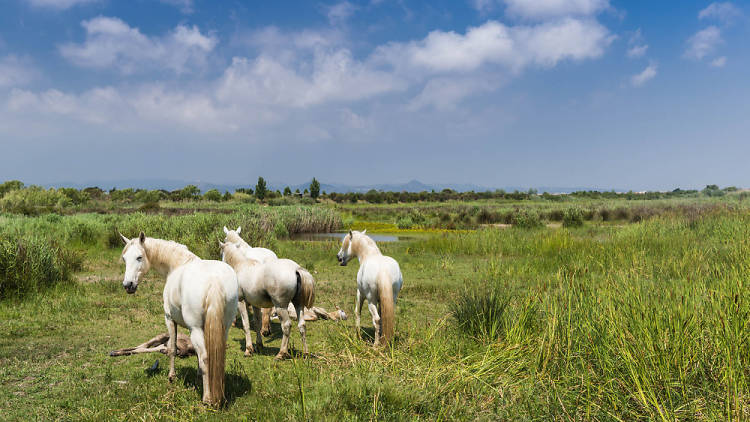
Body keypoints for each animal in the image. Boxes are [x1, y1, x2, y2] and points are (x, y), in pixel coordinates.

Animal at [120, 231, 238, 406]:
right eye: (124, 258)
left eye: (139, 257)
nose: (128, 285)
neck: (177, 264)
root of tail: (214, 281)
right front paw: (198, 375)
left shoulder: (169, 319)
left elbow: (172, 349)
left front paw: (171, 376)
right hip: (225, 328)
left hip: (195, 329)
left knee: (205, 357)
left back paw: (207, 398)